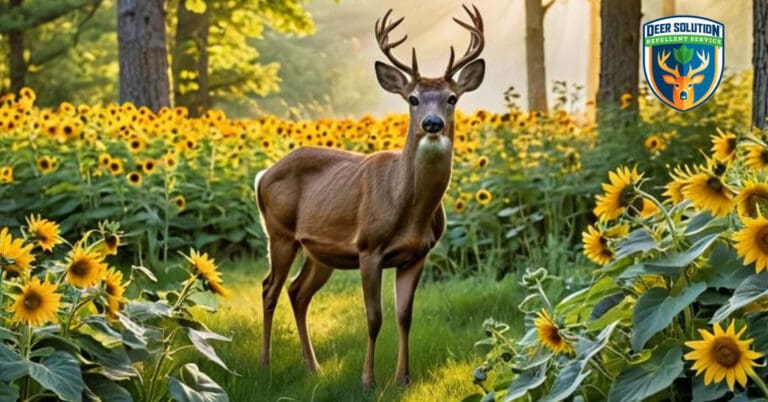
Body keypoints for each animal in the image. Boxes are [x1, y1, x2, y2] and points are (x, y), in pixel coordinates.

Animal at [253, 5, 485, 388]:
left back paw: (313, 367)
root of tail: (263, 175)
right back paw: (265, 363)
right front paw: (367, 380)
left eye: (452, 98)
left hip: (319, 250)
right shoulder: (368, 248)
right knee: (269, 288)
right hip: (280, 234)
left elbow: (405, 316)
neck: (408, 208)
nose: (432, 123)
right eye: (413, 99)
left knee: (297, 292)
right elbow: (374, 317)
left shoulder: (417, 254)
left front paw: (403, 378)